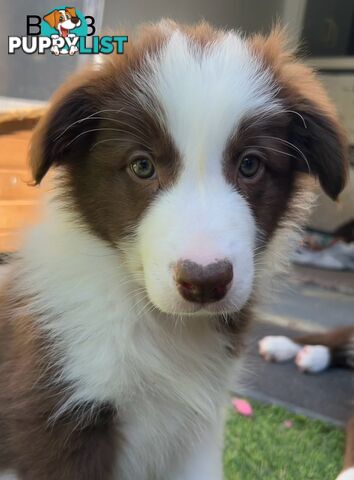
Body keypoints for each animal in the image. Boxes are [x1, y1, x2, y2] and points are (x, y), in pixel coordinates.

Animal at [0, 21, 348, 480]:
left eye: (250, 164)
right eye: (142, 165)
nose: (205, 281)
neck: (156, 323)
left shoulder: (199, 431)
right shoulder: (55, 415)